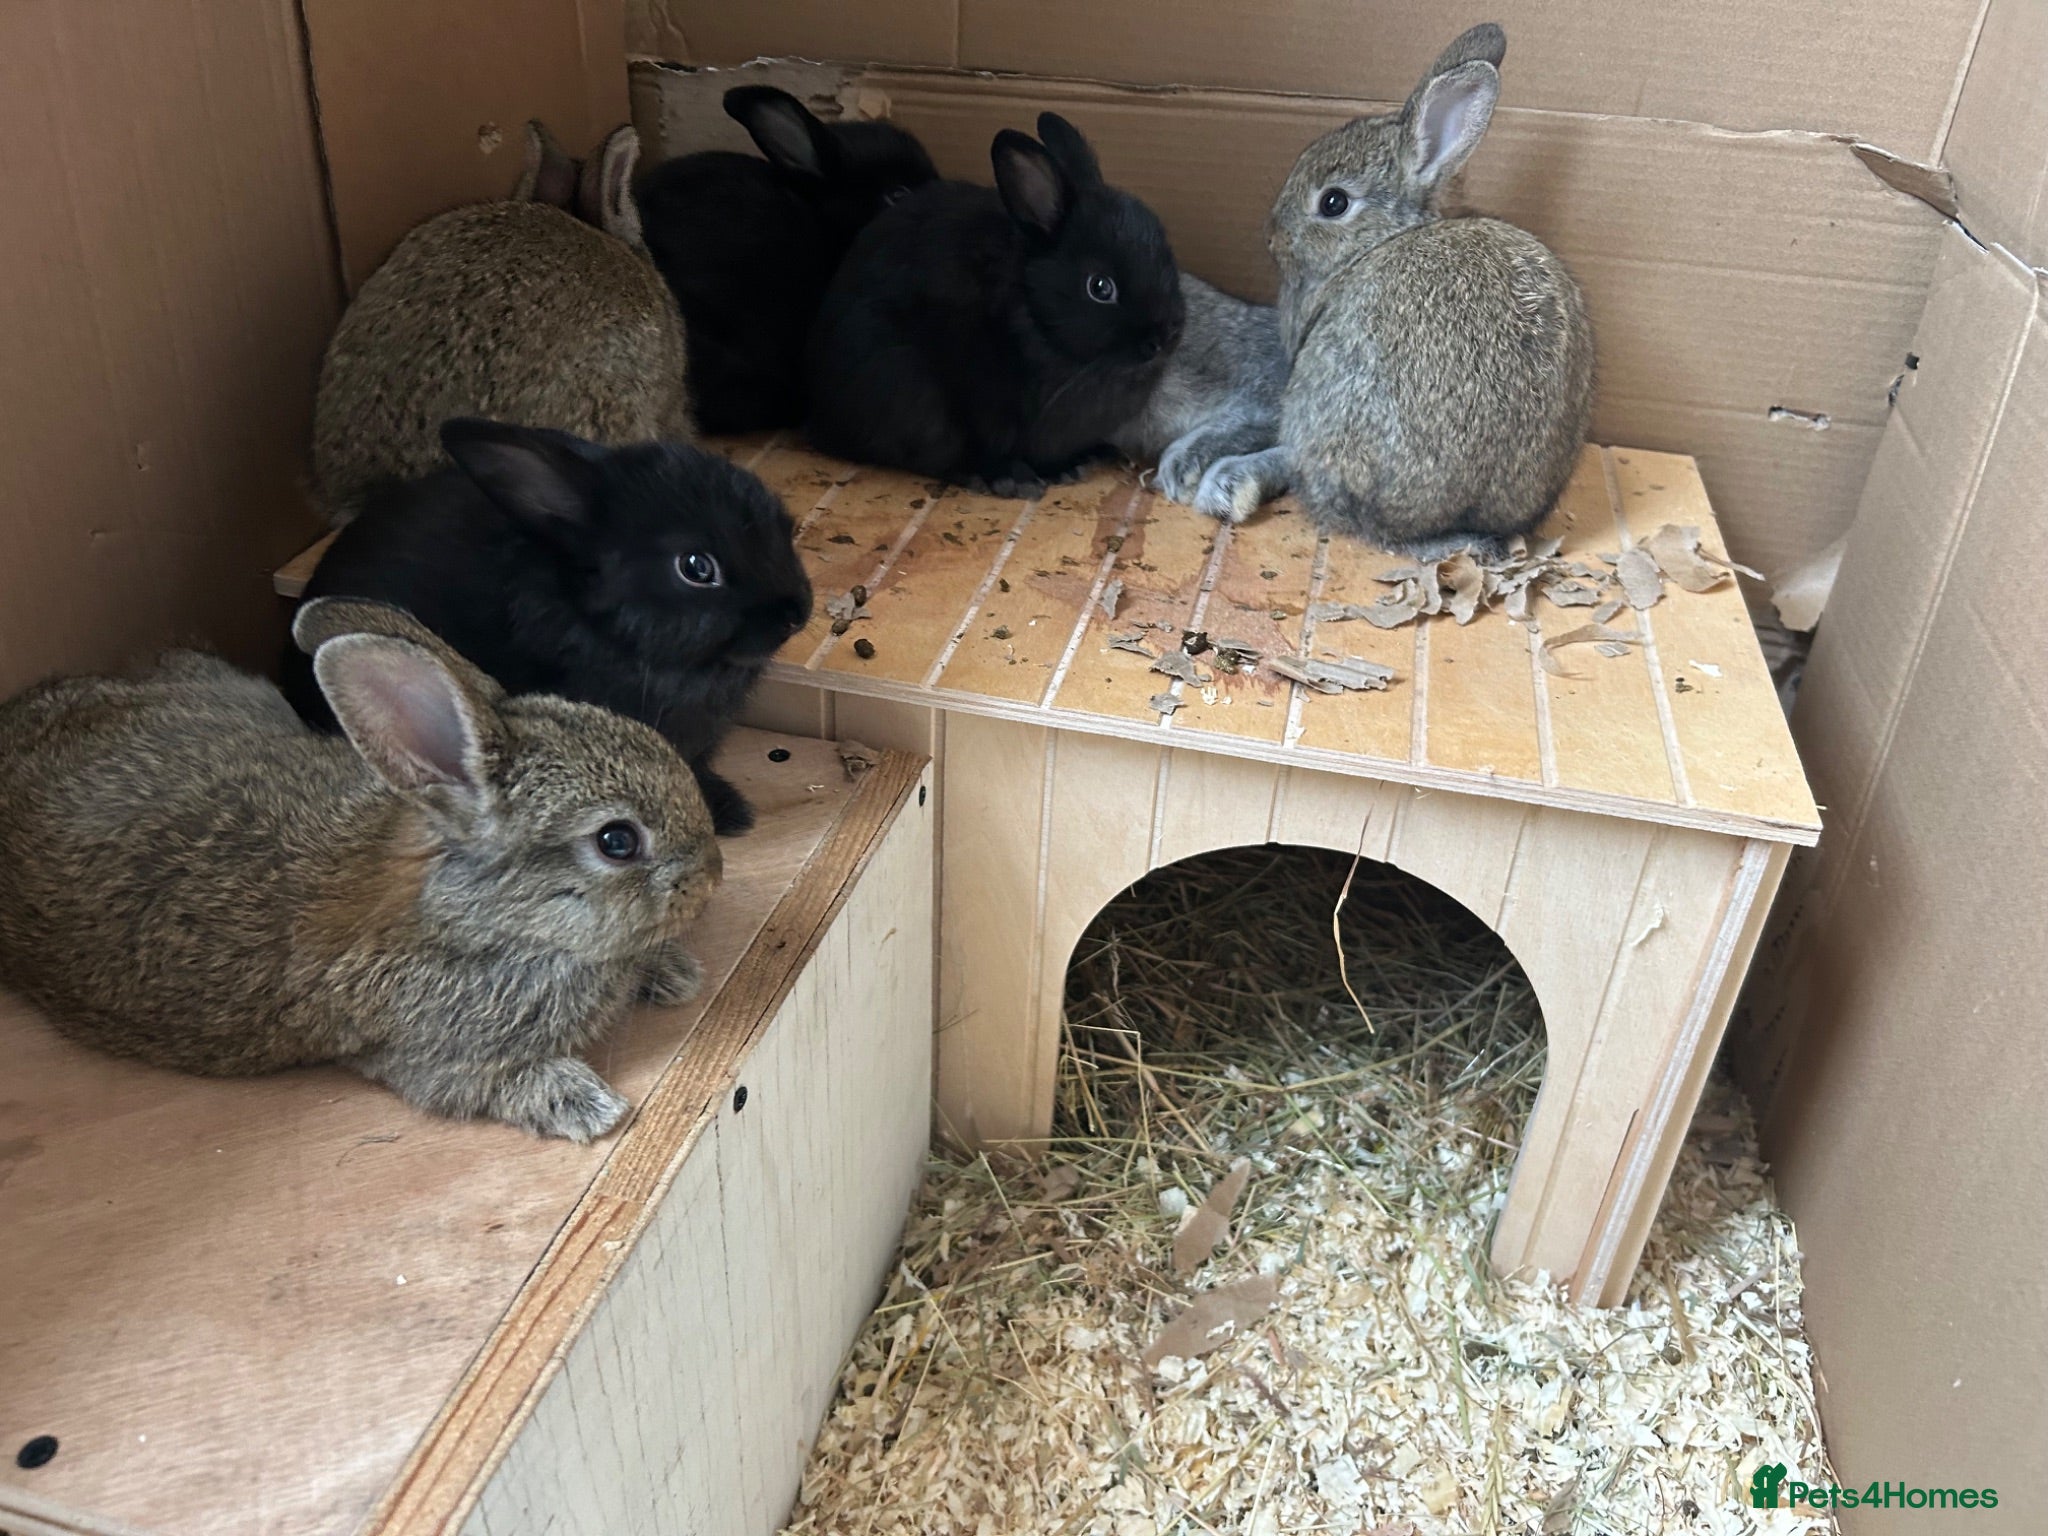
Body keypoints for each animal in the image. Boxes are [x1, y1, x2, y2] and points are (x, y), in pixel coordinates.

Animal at [0, 599, 721, 1143]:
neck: (492, 917)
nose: (713, 873)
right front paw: (591, 1106)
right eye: (617, 841)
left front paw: (672, 973)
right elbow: (496, 1084)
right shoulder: (438, 1059)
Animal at [806, 111, 1185, 499]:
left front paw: (1083, 458)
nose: (1165, 336)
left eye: (1166, 256)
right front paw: (1032, 473)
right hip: (903, 389)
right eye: (1100, 287)